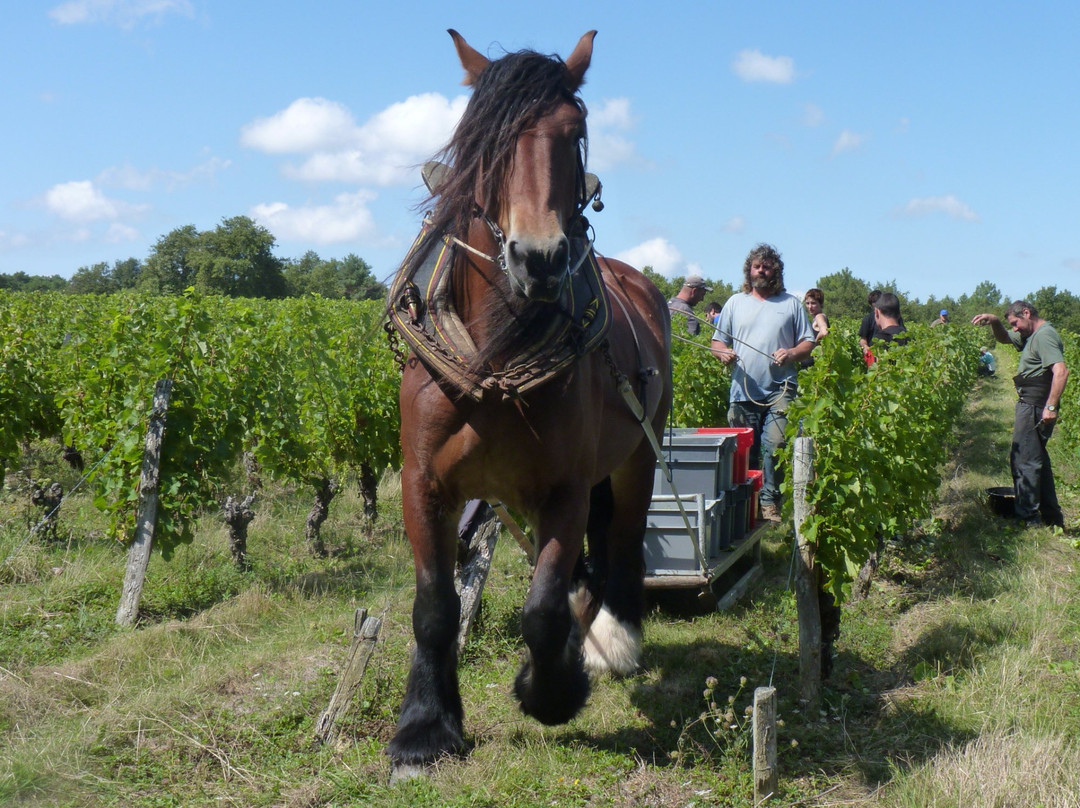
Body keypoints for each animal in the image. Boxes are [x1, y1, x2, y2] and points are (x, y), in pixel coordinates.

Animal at [388, 31, 669, 773]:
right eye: (483, 138)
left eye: (574, 135)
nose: (540, 257)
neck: (494, 357)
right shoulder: (423, 483)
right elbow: (435, 606)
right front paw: (425, 726)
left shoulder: (565, 487)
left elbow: (542, 609)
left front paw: (551, 690)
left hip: (636, 455)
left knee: (622, 540)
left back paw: (613, 638)